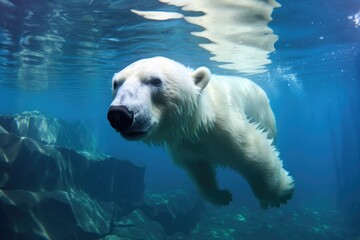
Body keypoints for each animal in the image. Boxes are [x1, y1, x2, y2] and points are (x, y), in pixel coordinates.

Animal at [107, 56, 292, 208]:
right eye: (116, 83)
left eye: (155, 81)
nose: (120, 114)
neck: (200, 122)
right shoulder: (185, 145)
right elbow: (200, 172)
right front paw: (222, 196)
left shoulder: (227, 126)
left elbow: (255, 153)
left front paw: (278, 195)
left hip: (263, 112)